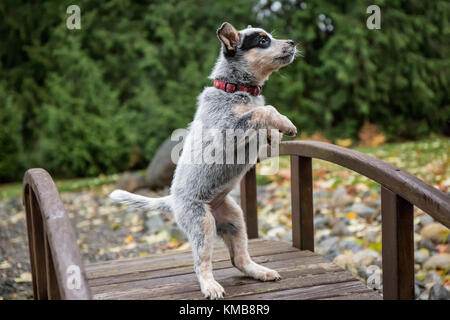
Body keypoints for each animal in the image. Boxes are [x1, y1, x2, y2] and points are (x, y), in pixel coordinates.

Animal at [110, 23, 298, 300]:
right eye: (263, 40)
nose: (293, 42)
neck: (236, 89)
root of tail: (172, 200)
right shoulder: (228, 130)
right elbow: (265, 111)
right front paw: (285, 123)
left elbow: (264, 118)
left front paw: (276, 134)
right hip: (202, 223)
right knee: (201, 263)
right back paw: (210, 286)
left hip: (234, 219)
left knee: (239, 259)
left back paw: (260, 271)